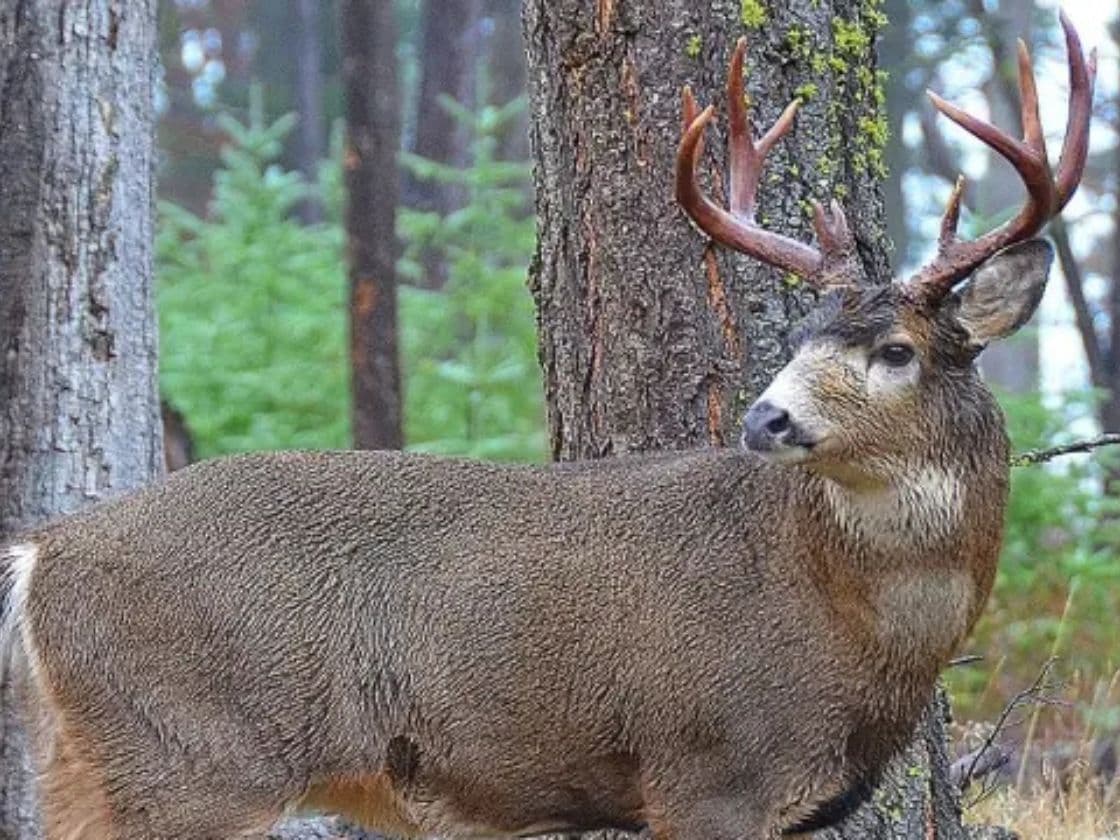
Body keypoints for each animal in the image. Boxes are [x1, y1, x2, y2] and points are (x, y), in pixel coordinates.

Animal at [0, 13, 1094, 840]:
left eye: (896, 349)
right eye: (804, 334)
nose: (766, 415)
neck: (852, 623)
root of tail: (45, 552)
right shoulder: (706, 768)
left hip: (86, 759)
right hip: (191, 760)